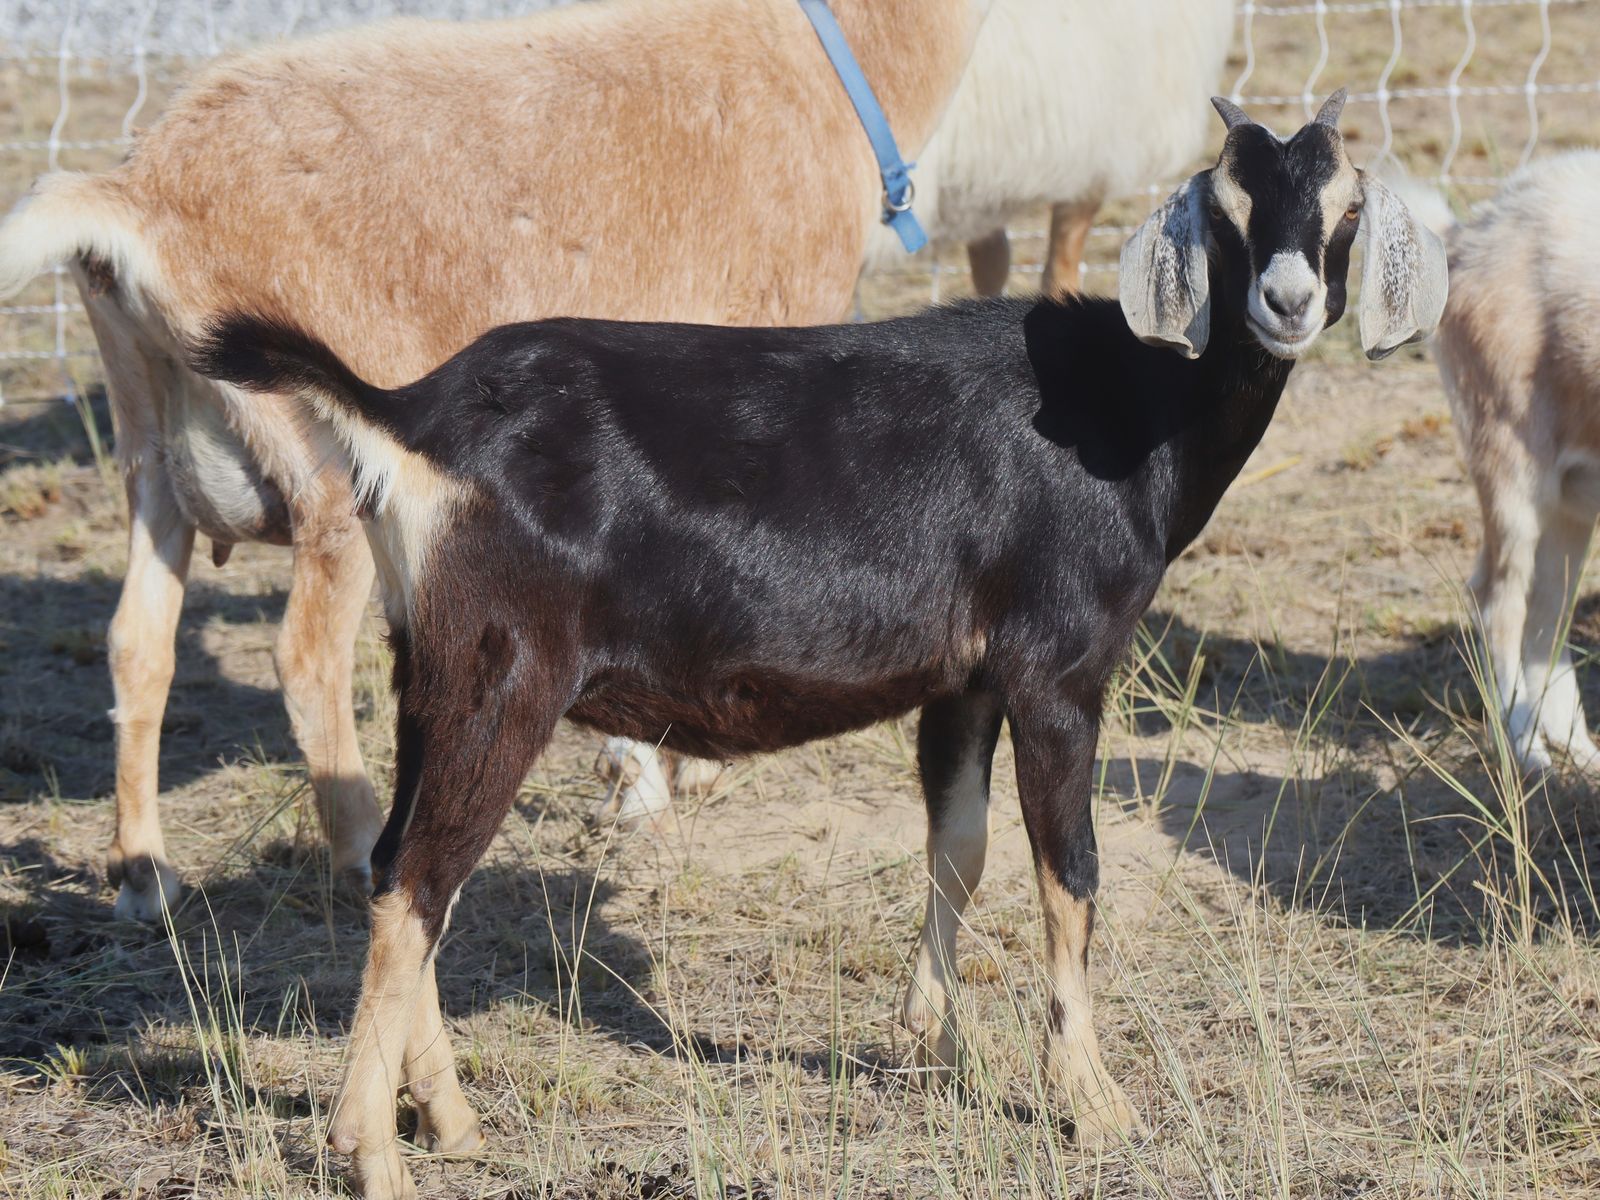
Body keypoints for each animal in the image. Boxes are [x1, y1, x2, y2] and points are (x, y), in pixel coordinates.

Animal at [0, 0, 990, 920]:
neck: (831, 57)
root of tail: (139, 192)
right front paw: (665, 777)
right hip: (328, 458)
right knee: (305, 657)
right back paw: (357, 848)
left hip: (150, 445)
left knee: (136, 642)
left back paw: (144, 876)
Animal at [193, 93, 1445, 1199]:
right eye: (1227, 207)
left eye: (1341, 206)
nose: (1286, 301)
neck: (1129, 411)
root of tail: (409, 413)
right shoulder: (1056, 669)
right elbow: (1071, 875)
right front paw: (1095, 1103)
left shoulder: (963, 679)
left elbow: (958, 848)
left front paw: (933, 1042)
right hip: (504, 674)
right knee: (419, 877)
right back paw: (374, 1151)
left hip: (429, 672)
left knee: (396, 862)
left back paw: (449, 1118)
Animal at [1425, 152, 1600, 772]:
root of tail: (1469, 233)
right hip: (1508, 459)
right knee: (1498, 597)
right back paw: (1528, 749)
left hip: (1572, 497)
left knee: (1546, 608)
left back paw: (1576, 746)